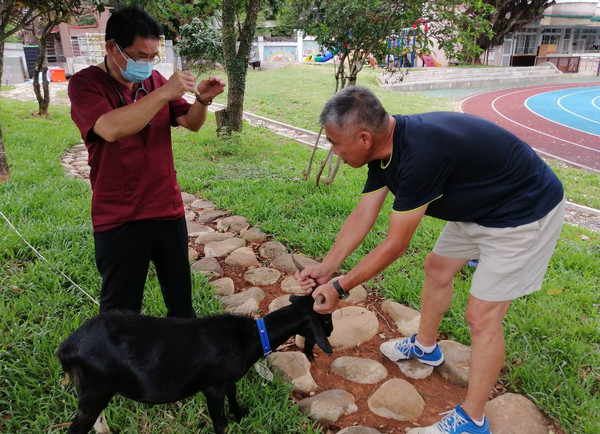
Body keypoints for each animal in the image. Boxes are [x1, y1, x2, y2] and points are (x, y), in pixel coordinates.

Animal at [57, 294, 332, 432]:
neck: (250, 337)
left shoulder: (226, 380)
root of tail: (66, 347)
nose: (330, 332)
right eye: (326, 320)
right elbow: (220, 424)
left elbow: (233, 394)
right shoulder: (212, 387)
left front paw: (241, 414)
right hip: (94, 390)